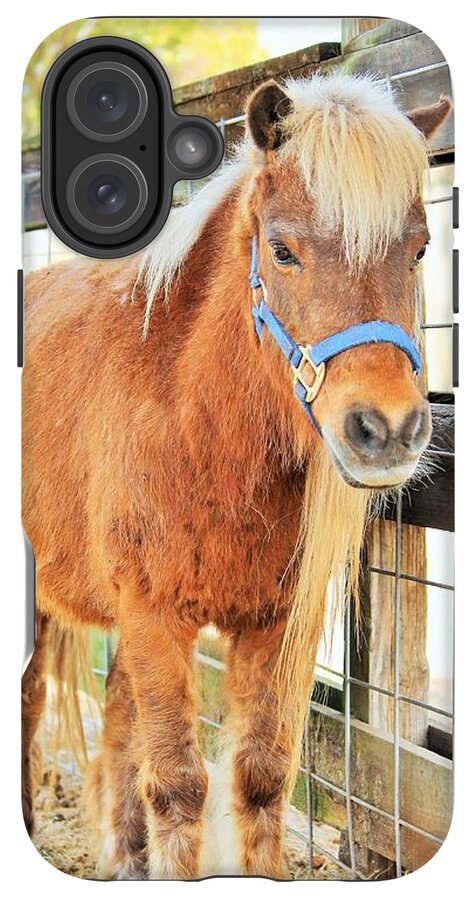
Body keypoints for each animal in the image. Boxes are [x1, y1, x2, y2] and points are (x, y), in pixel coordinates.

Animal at [21, 72, 451, 879]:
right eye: (281, 250)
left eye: (419, 250)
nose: (387, 432)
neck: (197, 425)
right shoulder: (153, 614)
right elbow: (179, 785)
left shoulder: (276, 624)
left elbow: (259, 776)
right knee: (34, 694)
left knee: (116, 720)